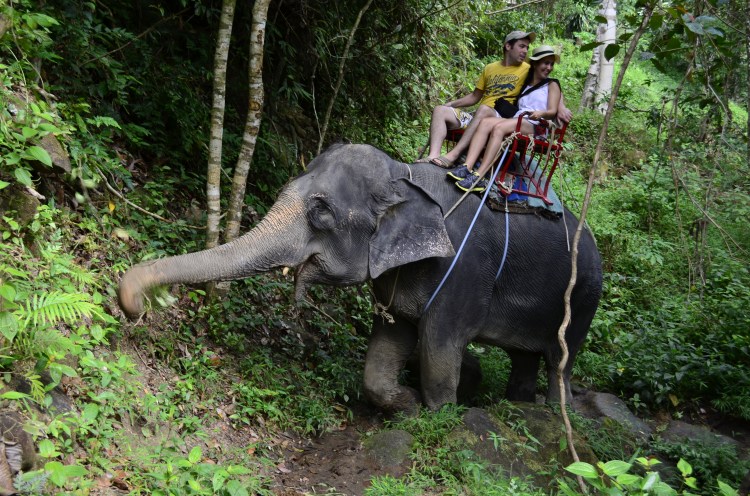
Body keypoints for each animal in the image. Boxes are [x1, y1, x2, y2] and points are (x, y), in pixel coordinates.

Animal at [118, 144, 602, 413]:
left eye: (321, 212)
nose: (137, 305)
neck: (406, 176)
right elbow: (387, 345)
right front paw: (405, 405)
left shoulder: (464, 271)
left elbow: (439, 348)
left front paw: (440, 415)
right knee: (525, 359)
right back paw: (519, 405)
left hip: (583, 299)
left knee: (560, 360)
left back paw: (556, 412)